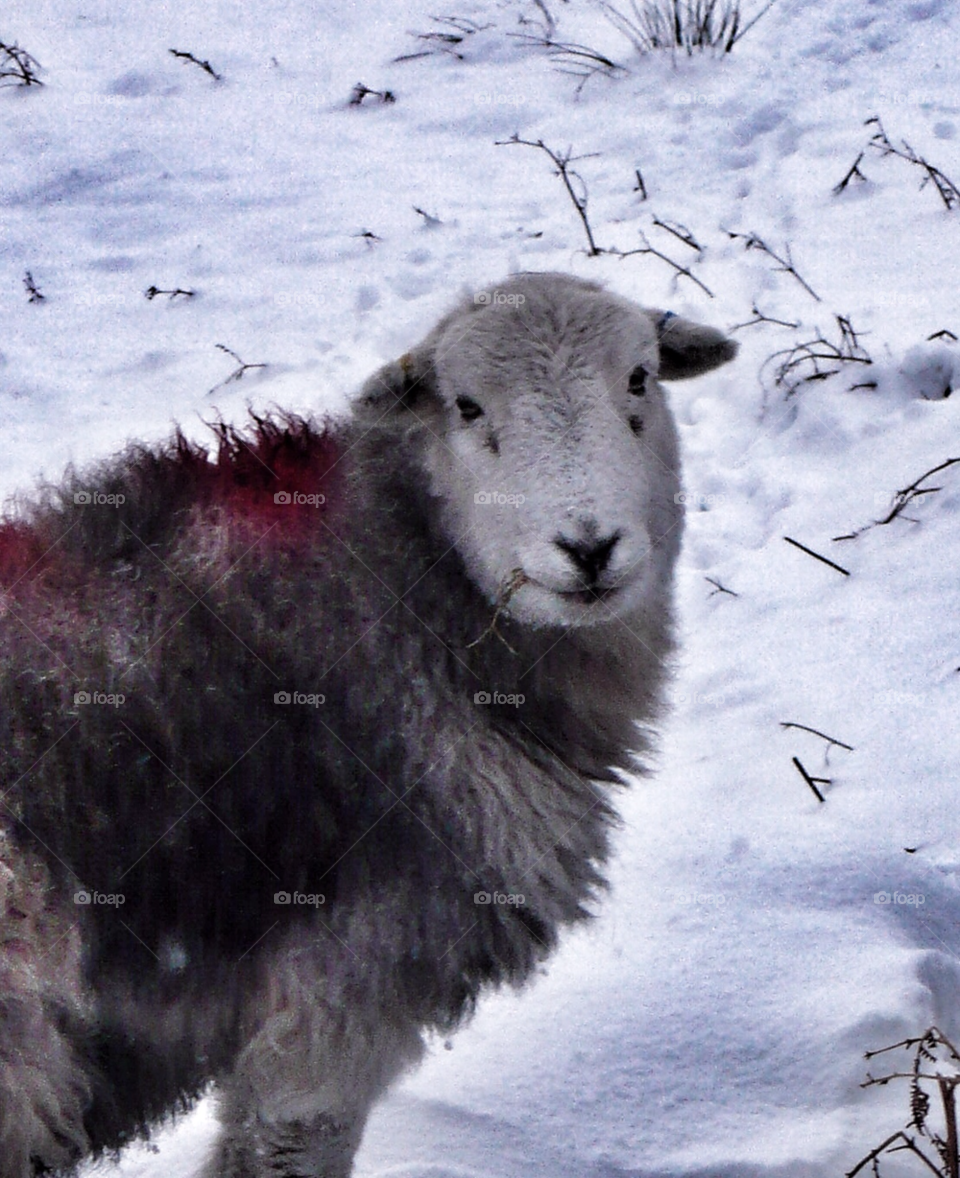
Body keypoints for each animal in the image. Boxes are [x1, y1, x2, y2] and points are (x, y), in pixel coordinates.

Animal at [0, 272, 736, 1178]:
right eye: (465, 405)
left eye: (640, 378)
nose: (590, 547)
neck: (406, 582)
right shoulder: (346, 982)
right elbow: (283, 1148)